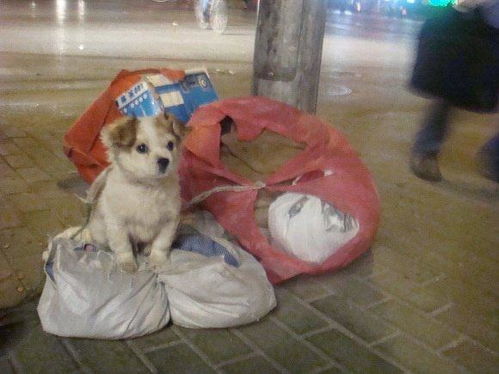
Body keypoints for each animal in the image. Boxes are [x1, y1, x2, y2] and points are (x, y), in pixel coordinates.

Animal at [85, 112, 188, 272]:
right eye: (141, 148)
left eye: (170, 145)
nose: (164, 160)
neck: (148, 188)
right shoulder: (118, 223)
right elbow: (124, 246)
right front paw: (127, 264)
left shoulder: (169, 221)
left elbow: (161, 244)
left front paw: (157, 261)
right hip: (99, 231)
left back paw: (147, 248)